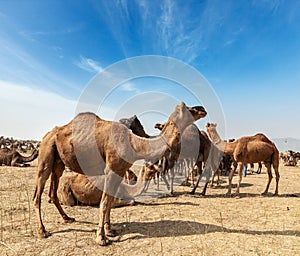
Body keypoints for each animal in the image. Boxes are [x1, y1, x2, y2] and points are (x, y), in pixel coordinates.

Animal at [32, 102, 206, 246]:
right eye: (189, 109)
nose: (202, 109)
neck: (135, 144)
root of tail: (47, 135)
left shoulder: (120, 171)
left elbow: (109, 202)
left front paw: (110, 230)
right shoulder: (111, 170)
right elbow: (104, 203)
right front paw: (101, 238)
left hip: (58, 163)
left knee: (53, 190)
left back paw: (67, 218)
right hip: (45, 155)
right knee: (38, 193)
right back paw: (42, 231)